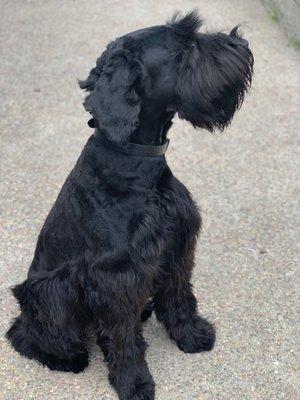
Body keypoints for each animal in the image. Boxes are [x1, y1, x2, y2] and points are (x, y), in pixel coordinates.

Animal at [6, 11, 253, 400]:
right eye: (186, 47)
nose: (241, 43)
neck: (134, 161)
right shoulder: (116, 276)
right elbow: (123, 338)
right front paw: (133, 381)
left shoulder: (175, 247)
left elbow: (180, 297)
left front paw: (190, 335)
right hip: (51, 290)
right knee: (24, 333)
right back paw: (65, 358)